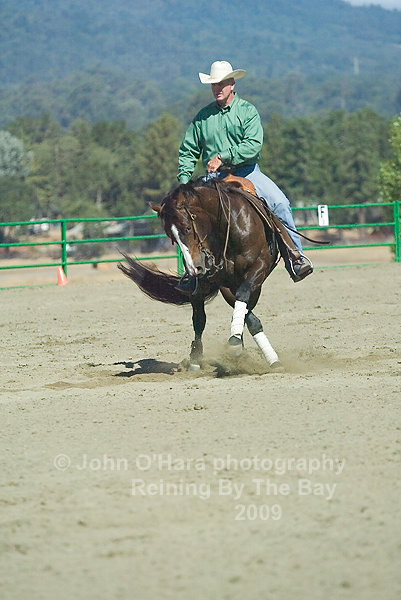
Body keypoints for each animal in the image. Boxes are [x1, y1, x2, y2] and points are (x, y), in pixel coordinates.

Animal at [118, 179, 285, 372]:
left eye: (187, 228)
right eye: (171, 236)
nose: (194, 269)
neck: (230, 226)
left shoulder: (258, 268)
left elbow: (243, 298)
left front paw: (236, 342)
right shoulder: (215, 281)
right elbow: (210, 317)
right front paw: (230, 346)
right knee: (206, 318)